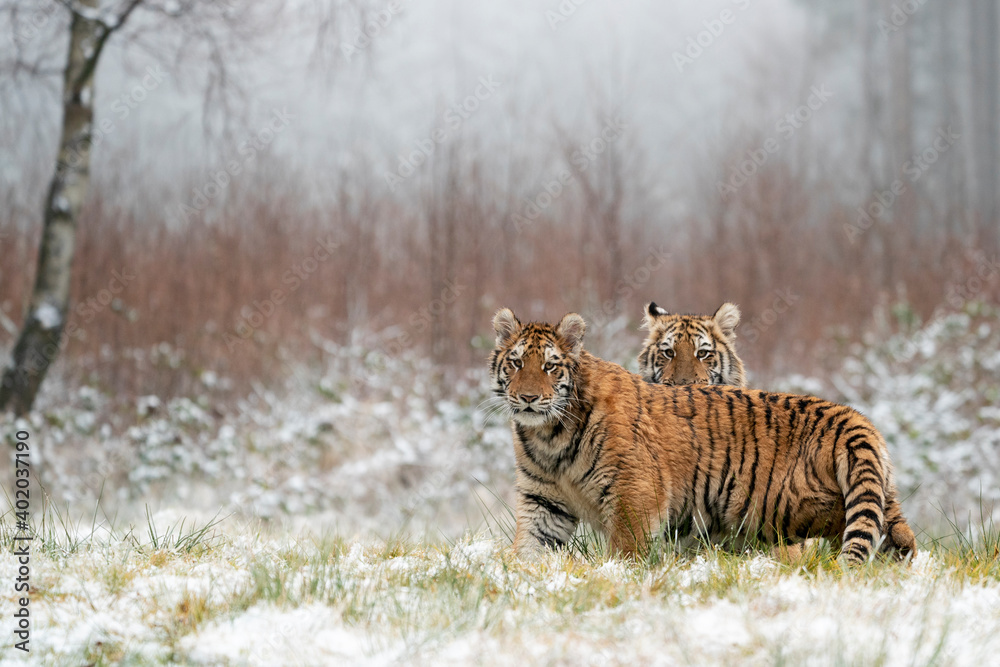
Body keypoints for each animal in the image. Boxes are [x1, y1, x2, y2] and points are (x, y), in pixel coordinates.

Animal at [488, 308, 916, 564]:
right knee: (891, 525)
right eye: (516, 363)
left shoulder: (635, 492)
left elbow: (627, 549)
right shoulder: (544, 500)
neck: (548, 434)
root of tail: (851, 417)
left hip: (776, 508)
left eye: (549, 366)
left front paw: (619, 577)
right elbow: (530, 548)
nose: (528, 398)